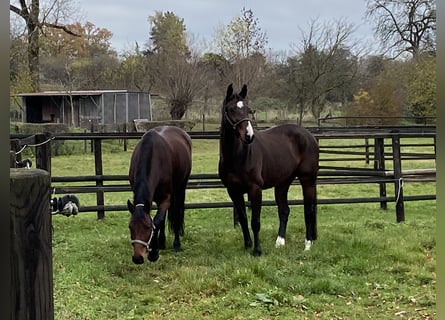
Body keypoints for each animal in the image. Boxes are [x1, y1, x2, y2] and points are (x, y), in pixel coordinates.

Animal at [127, 126, 192, 264]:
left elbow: (157, 221)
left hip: (180, 188)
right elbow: (158, 220)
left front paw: (153, 254)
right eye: (130, 227)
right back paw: (162, 243)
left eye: (147, 228)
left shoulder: (166, 198)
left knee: (175, 215)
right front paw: (157, 246)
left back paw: (176, 244)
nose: (137, 258)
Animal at [217, 84, 318, 256]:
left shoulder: (255, 189)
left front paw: (257, 250)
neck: (238, 155)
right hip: (283, 183)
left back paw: (308, 244)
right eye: (231, 109)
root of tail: (309, 136)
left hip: (308, 181)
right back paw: (280, 242)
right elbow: (243, 219)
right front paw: (247, 245)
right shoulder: (233, 191)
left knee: (308, 211)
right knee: (284, 211)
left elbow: (255, 221)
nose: (249, 136)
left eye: (248, 110)